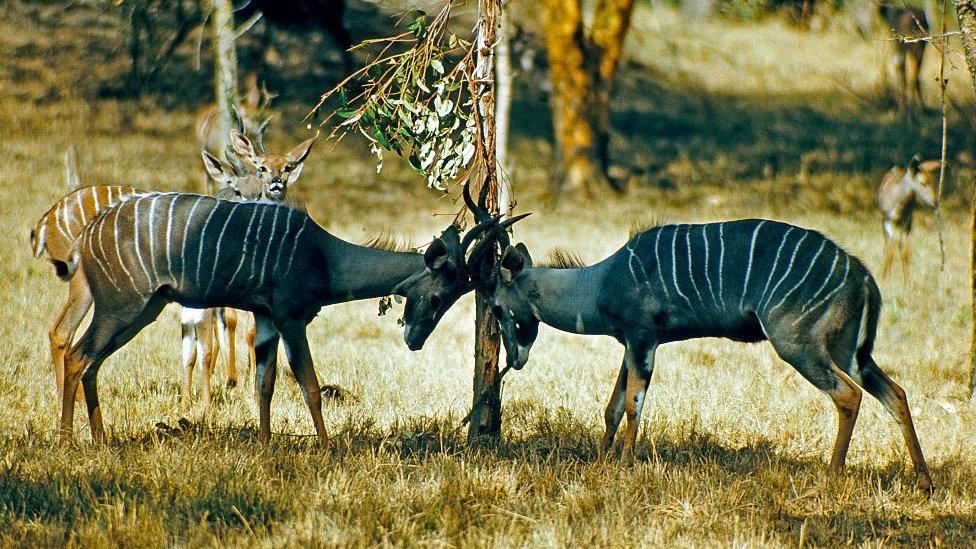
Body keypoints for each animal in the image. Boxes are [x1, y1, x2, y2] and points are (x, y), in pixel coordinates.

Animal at [59, 186, 520, 444]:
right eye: (440, 295)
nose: (415, 340)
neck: (323, 255)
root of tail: (86, 236)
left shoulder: (265, 318)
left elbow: (264, 383)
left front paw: (265, 447)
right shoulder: (291, 318)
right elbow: (308, 383)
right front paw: (329, 449)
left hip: (144, 309)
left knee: (91, 361)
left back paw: (101, 440)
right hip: (122, 306)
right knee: (78, 355)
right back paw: (68, 442)